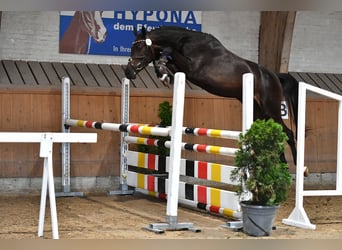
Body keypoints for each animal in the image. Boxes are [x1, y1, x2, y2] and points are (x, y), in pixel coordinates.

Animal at [125, 25, 300, 168]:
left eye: (139, 46)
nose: (128, 72)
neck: (186, 41)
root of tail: (275, 76)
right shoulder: (184, 69)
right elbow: (166, 60)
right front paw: (163, 73)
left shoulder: (192, 67)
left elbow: (168, 50)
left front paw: (162, 69)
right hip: (258, 110)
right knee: (276, 132)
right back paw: (280, 165)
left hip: (270, 108)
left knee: (288, 133)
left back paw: (296, 168)